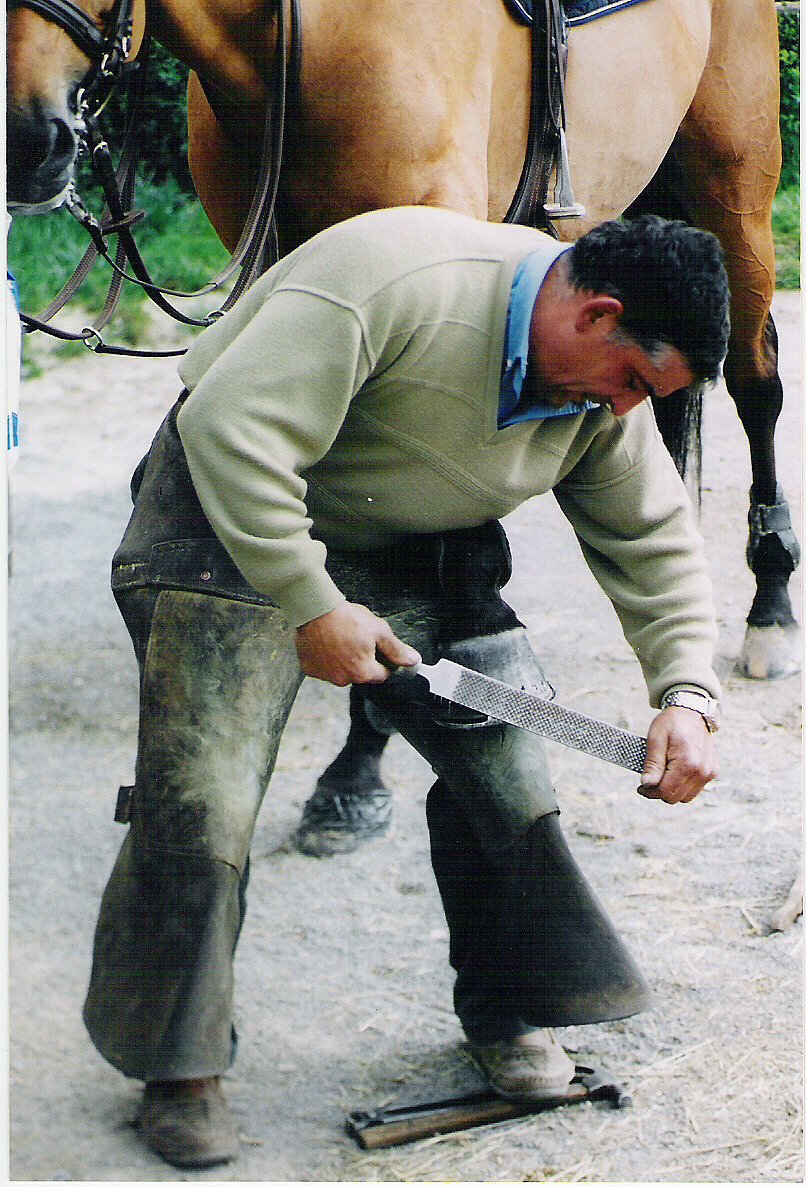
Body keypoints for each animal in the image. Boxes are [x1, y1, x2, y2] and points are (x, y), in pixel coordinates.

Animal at [6, 0, 802, 807]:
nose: (26, 142)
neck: (315, 39)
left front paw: (361, 761)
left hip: (733, 194)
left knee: (756, 383)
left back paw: (769, 607)